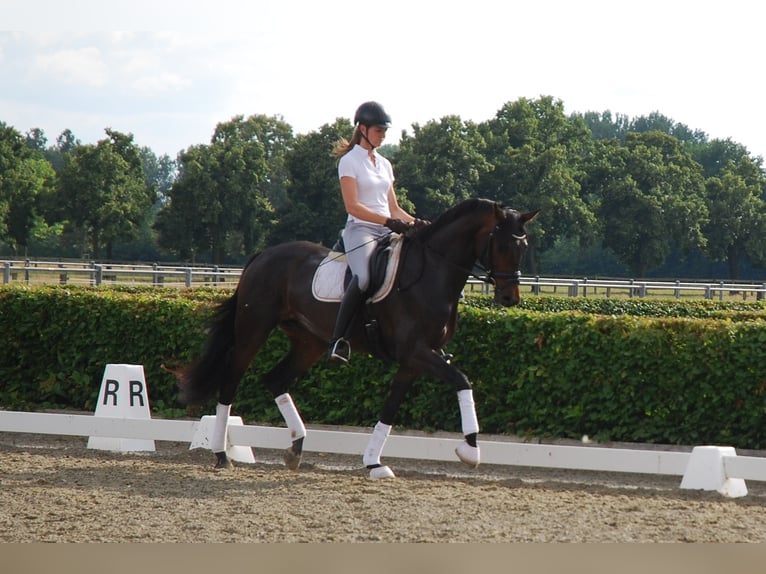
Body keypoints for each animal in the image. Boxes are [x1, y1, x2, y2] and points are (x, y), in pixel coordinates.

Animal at [170, 198, 538, 479]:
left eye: (524, 246)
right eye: (502, 243)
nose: (510, 298)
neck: (432, 273)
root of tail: (264, 255)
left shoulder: (415, 360)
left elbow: (390, 409)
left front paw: (374, 463)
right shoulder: (417, 353)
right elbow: (462, 380)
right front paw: (470, 449)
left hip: (309, 342)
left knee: (275, 379)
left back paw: (295, 448)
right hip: (254, 330)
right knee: (231, 381)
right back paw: (222, 455)